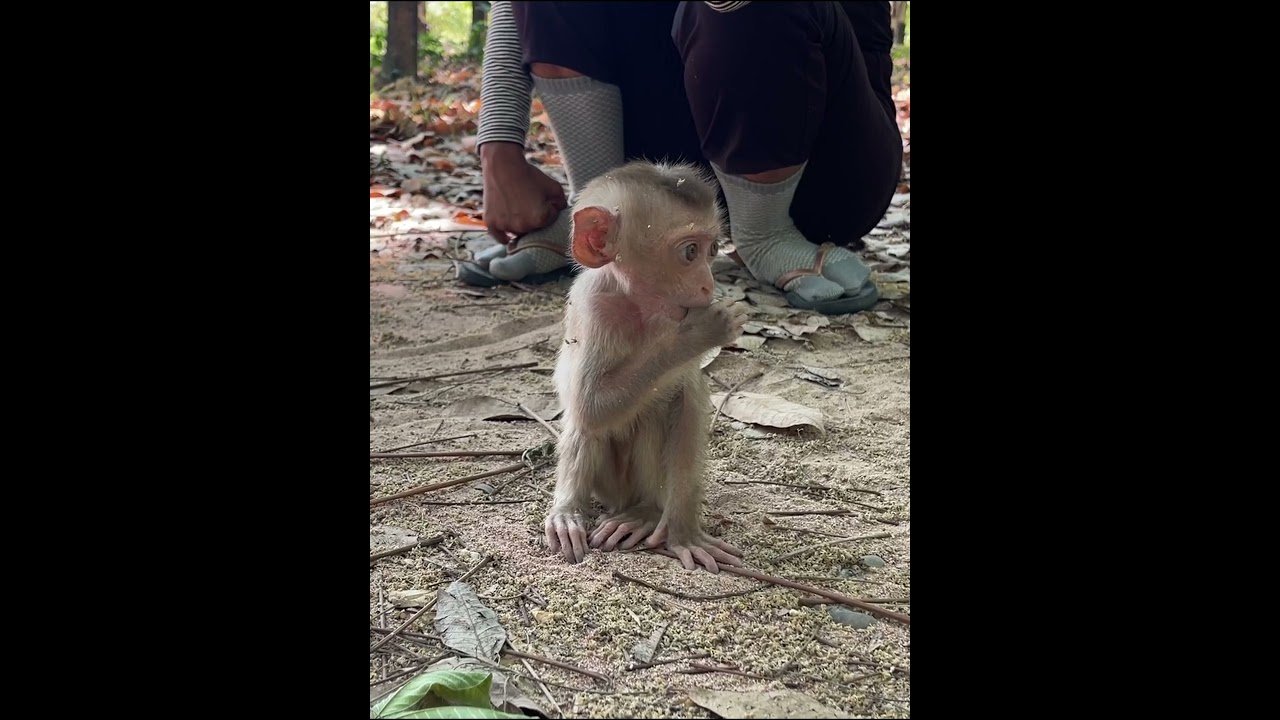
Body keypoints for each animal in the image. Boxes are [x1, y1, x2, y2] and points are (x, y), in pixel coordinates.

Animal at [544, 160, 748, 573]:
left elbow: (687, 402)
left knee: (663, 407)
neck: (639, 305)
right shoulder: (595, 307)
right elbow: (591, 405)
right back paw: (569, 511)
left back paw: (646, 514)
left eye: (712, 249)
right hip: (607, 485)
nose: (708, 285)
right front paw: (699, 331)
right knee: (585, 422)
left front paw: (683, 533)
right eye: (689, 252)